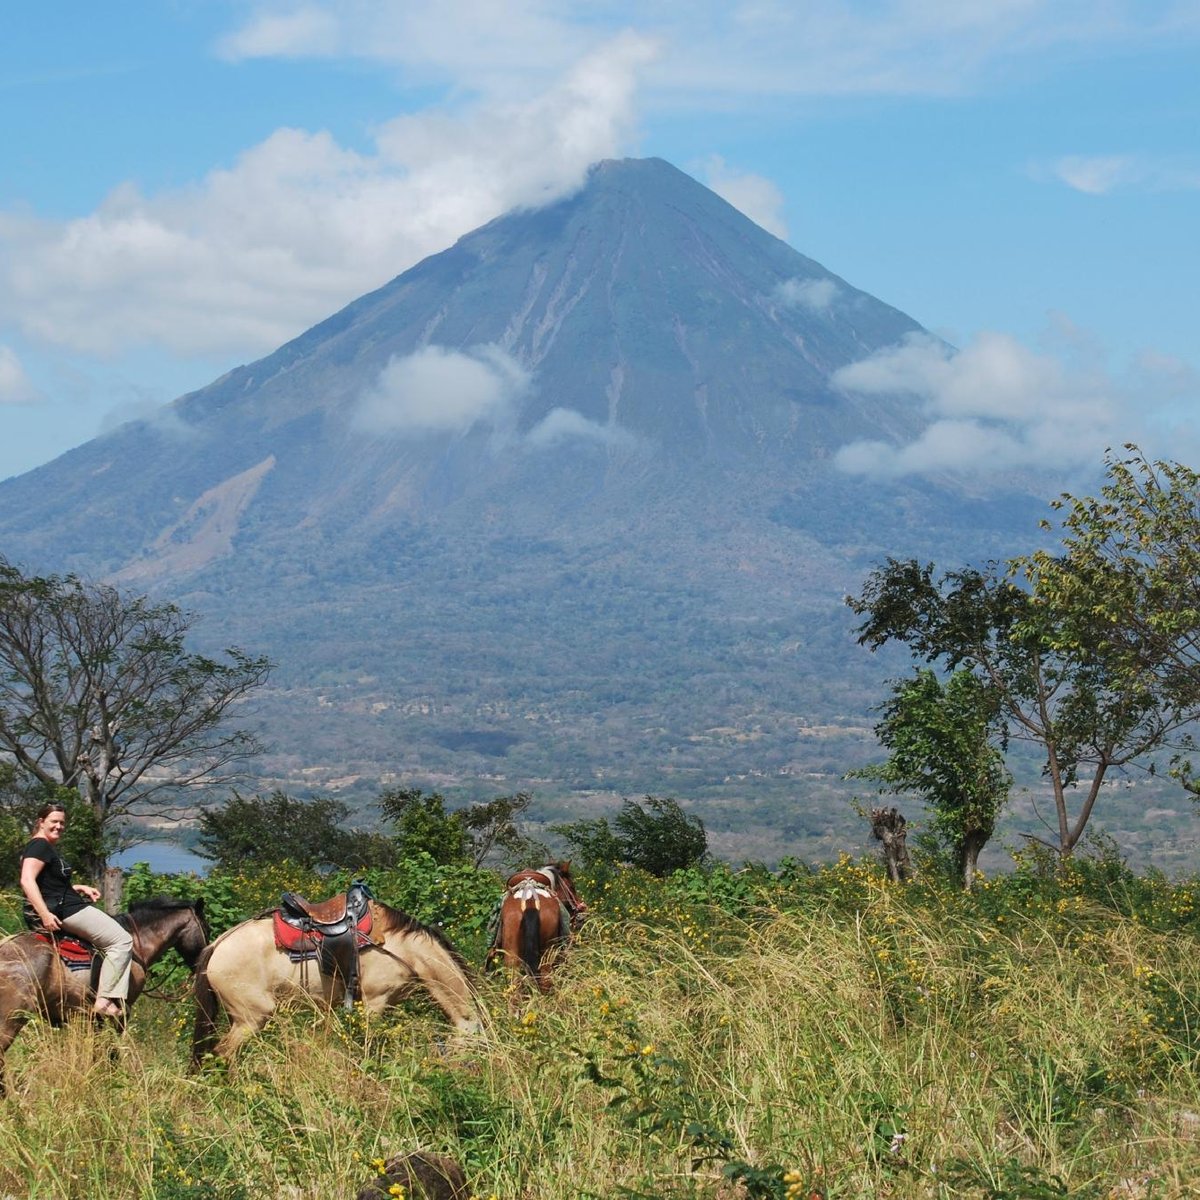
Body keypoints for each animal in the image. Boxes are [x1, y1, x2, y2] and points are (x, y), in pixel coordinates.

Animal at [0, 892, 211, 1099]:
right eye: (206, 929)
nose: (203, 965)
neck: (136, 944)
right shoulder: (121, 1012)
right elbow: (112, 1052)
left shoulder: (95, 1018)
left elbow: (98, 1052)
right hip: (11, 1020)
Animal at [189, 897, 480, 1065]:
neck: (403, 947)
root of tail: (216, 945)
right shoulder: (373, 1002)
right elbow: (367, 1046)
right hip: (251, 1018)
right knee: (223, 1053)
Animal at [482, 864, 585, 993]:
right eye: (571, 886)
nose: (581, 908)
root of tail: (530, 901)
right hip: (547, 954)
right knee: (545, 980)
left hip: (512, 956)